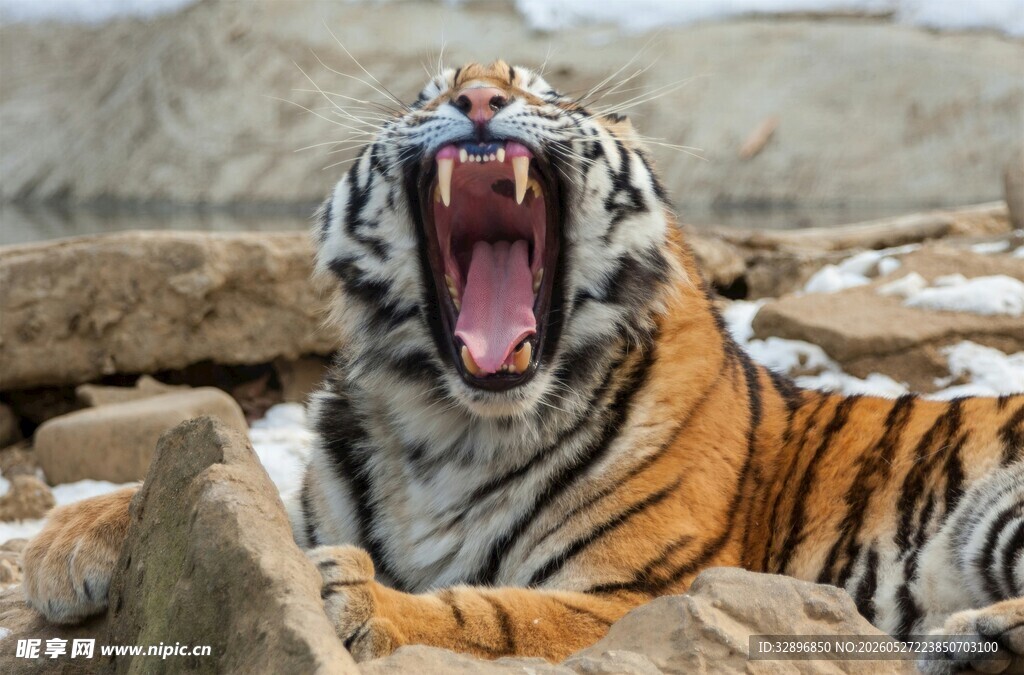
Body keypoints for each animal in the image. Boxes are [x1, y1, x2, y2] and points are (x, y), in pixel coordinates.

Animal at [21, 60, 1024, 671]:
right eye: (424, 96)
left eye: (545, 93)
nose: (476, 99)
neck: (451, 426)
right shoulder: (314, 498)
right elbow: (235, 482)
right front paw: (63, 543)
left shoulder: (638, 592)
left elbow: (497, 610)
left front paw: (360, 598)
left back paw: (972, 632)